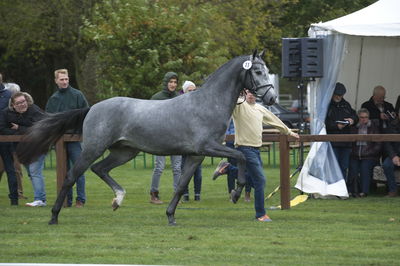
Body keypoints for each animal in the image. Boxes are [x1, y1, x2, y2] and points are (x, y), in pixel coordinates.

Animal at [17, 49, 276, 224]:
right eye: (257, 71)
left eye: (266, 71)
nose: (271, 98)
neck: (208, 102)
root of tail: (92, 108)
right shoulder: (207, 147)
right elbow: (240, 156)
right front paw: (236, 193)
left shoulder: (196, 155)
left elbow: (182, 185)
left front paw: (170, 216)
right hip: (93, 148)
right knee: (72, 176)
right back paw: (54, 216)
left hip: (124, 152)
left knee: (100, 169)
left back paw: (117, 200)